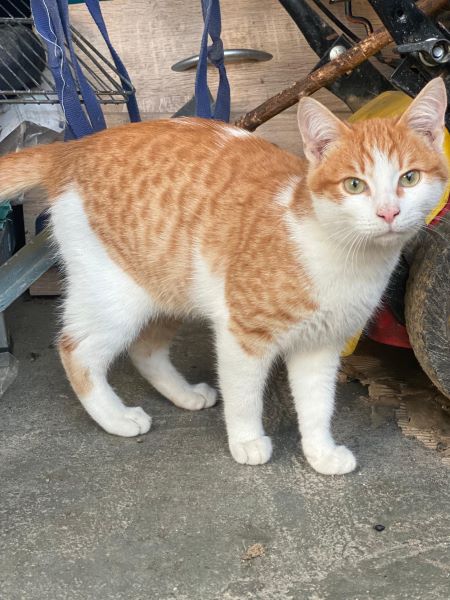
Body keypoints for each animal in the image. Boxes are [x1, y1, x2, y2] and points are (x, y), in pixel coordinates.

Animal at [0, 78, 447, 475]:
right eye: (355, 185)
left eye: (409, 178)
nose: (388, 213)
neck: (340, 252)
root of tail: (73, 148)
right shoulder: (242, 332)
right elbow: (244, 394)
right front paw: (247, 440)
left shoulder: (321, 345)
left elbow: (318, 404)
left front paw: (320, 452)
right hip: (115, 296)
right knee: (75, 349)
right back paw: (116, 417)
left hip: (168, 286)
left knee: (145, 349)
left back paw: (183, 395)